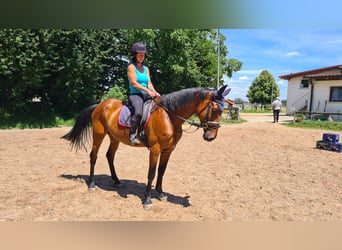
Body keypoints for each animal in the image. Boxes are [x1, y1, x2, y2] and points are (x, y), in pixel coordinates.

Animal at [62, 85, 231, 208]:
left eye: (222, 110)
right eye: (214, 109)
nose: (210, 137)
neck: (170, 117)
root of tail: (101, 105)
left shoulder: (168, 151)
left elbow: (162, 171)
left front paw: (161, 193)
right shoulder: (155, 150)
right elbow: (151, 173)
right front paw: (147, 199)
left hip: (114, 138)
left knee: (109, 156)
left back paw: (116, 180)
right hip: (99, 134)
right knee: (94, 155)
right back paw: (91, 184)